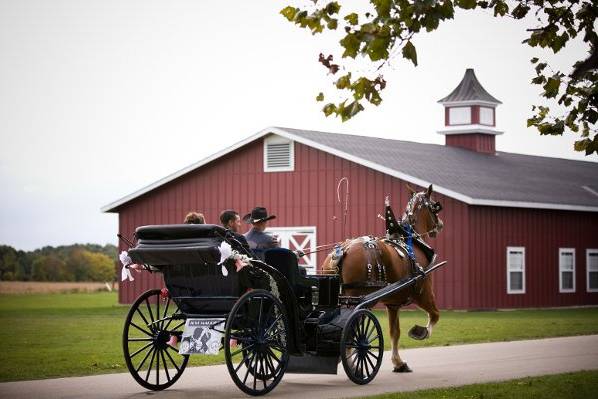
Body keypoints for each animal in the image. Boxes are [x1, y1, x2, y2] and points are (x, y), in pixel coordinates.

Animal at [324, 186, 446, 374]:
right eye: (434, 206)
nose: (440, 224)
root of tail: (342, 250)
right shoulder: (423, 291)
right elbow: (435, 314)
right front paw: (420, 332)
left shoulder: (393, 304)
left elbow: (394, 332)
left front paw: (398, 362)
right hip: (358, 299)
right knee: (352, 331)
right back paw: (355, 363)